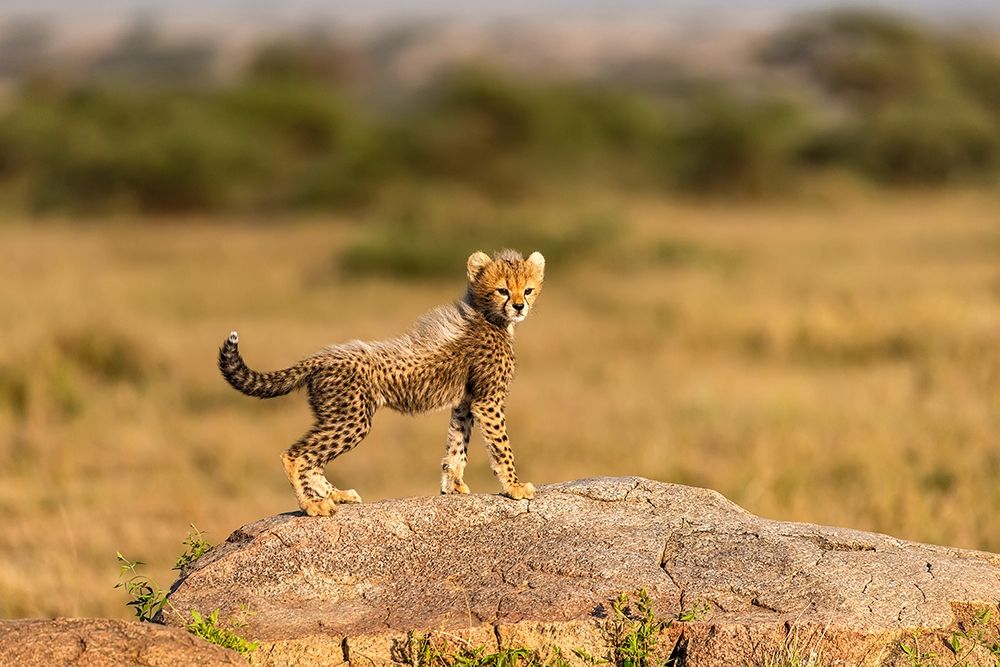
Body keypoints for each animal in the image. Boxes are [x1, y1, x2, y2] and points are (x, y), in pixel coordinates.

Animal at [218, 249, 545, 516]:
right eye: (503, 290)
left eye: (528, 290)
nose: (519, 307)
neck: (489, 317)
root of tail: (321, 356)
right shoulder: (488, 401)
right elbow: (501, 445)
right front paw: (515, 486)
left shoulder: (466, 400)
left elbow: (457, 443)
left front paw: (452, 484)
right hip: (352, 418)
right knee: (296, 455)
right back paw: (312, 505)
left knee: (313, 458)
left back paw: (336, 495)